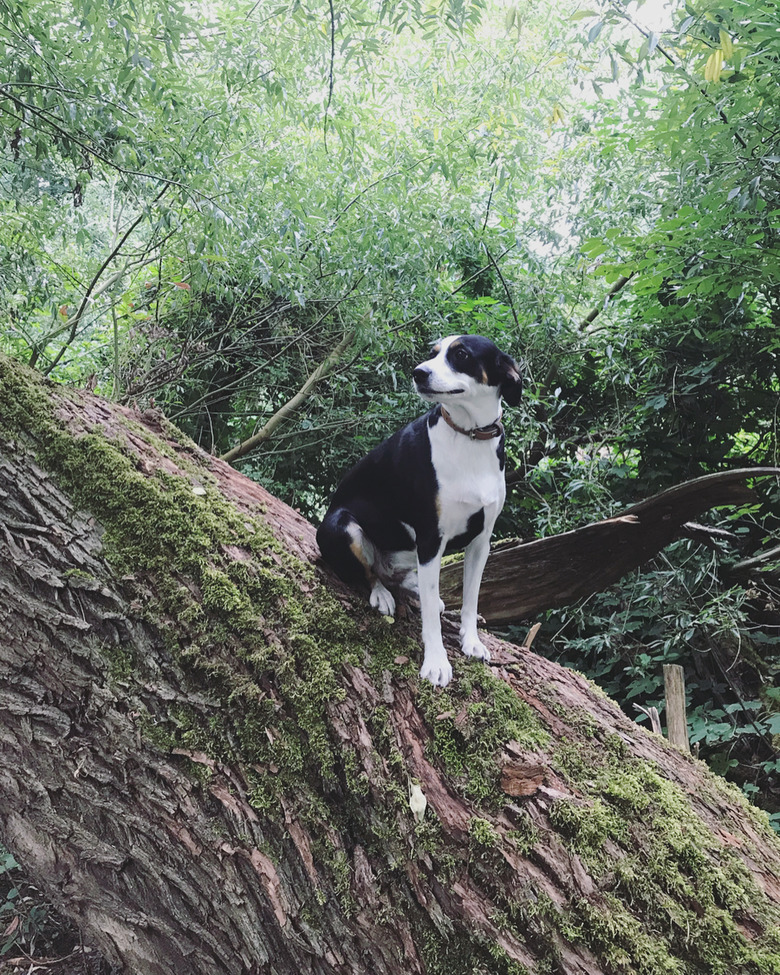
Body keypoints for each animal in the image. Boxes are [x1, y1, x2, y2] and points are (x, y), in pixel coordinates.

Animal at [316, 336, 524, 688]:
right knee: (369, 573)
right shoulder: (430, 539)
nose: (418, 373)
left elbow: (471, 599)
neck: (469, 437)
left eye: (461, 354)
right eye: (432, 353)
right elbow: (430, 619)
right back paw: (382, 595)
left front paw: (471, 641)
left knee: (402, 576)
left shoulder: (481, 541)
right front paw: (437, 663)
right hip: (342, 525)